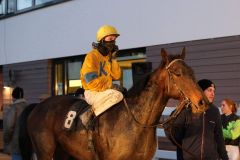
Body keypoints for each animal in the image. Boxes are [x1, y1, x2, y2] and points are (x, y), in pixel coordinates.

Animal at [22, 47, 208, 160]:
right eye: (177, 74)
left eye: (191, 72)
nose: (203, 102)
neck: (136, 121)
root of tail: (38, 106)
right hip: (45, 151)